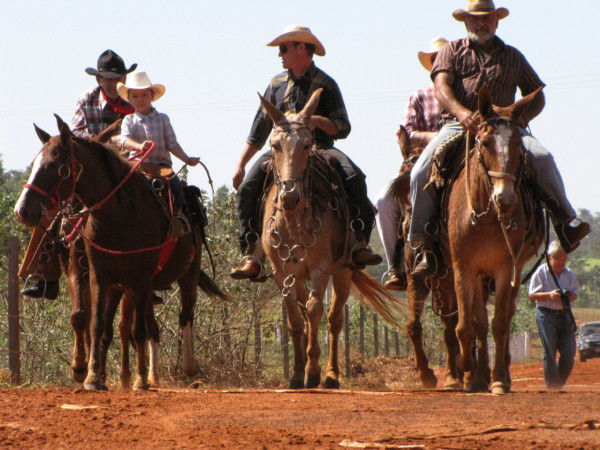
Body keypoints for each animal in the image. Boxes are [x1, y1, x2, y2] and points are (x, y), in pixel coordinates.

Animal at [14, 116, 226, 390]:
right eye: (34, 164)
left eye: (56, 166)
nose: (22, 210)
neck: (119, 214)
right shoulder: (95, 274)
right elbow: (92, 321)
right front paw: (89, 374)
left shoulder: (140, 277)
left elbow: (134, 329)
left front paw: (137, 380)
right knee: (142, 326)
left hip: (186, 272)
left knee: (183, 315)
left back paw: (183, 368)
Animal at [258, 89, 404, 388]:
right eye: (275, 145)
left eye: (307, 145)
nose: (290, 195)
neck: (294, 219)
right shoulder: (281, 271)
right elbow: (294, 318)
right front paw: (297, 373)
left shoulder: (321, 268)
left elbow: (315, 310)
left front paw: (312, 371)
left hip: (343, 272)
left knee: (334, 319)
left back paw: (332, 375)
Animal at [446, 85, 544, 394]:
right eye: (486, 142)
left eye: (518, 145)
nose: (507, 199)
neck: (486, 218)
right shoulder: (463, 269)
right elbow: (466, 325)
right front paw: (467, 370)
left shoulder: (505, 269)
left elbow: (500, 323)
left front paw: (499, 379)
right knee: (476, 321)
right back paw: (475, 376)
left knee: (506, 314)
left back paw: (499, 374)